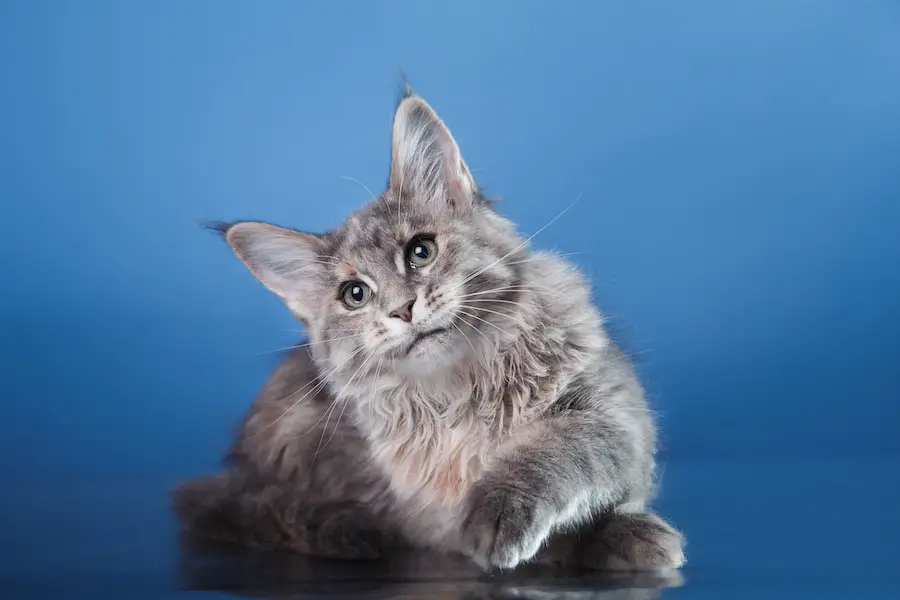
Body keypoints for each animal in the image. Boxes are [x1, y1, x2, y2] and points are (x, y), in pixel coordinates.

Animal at [172, 89, 684, 572]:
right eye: (355, 295)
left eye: (421, 251)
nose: (402, 309)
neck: (461, 390)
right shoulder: (423, 515)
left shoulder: (617, 414)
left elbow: (559, 451)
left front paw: (615, 530)